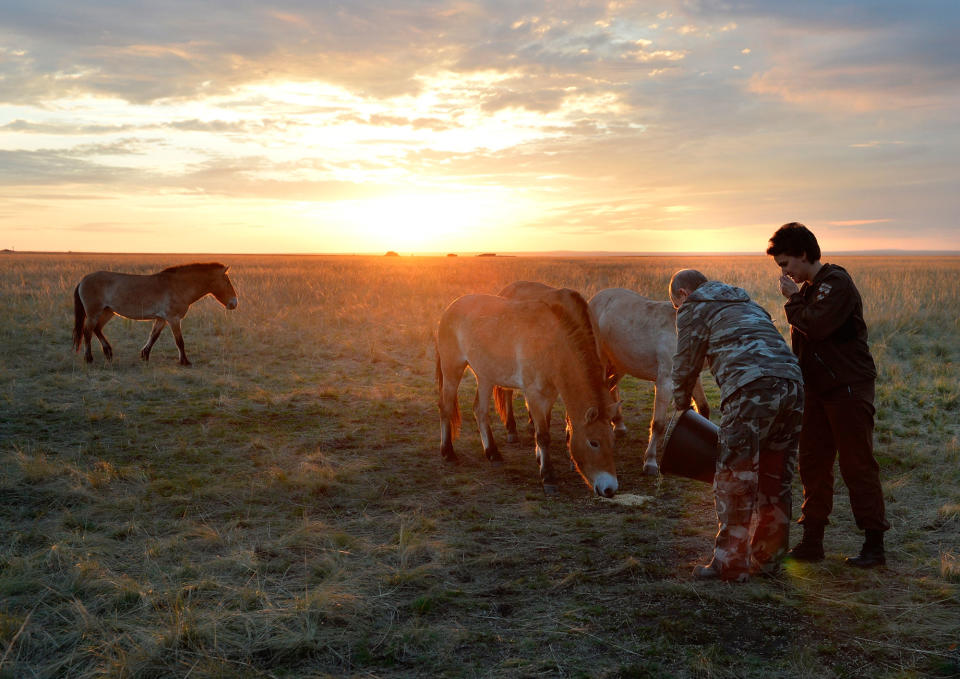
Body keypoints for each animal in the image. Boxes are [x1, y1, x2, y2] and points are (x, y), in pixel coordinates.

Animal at [71, 262, 236, 366]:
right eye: (227, 282)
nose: (234, 303)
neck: (179, 286)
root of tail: (83, 280)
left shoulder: (161, 319)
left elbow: (154, 336)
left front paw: (145, 355)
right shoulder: (173, 319)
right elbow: (179, 341)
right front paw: (185, 361)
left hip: (108, 311)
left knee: (97, 329)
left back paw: (108, 353)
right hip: (94, 313)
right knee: (88, 331)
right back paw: (89, 358)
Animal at [434, 290, 620, 496]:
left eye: (612, 441)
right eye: (593, 442)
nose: (610, 488)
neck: (552, 347)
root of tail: (450, 308)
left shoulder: (549, 394)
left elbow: (544, 426)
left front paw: (540, 459)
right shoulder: (534, 395)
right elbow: (543, 435)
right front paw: (548, 477)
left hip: (485, 376)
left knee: (480, 411)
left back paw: (493, 453)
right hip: (453, 368)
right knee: (446, 407)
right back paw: (448, 452)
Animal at [588, 290, 708, 476]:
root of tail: (595, 299)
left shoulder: (693, 378)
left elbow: (703, 409)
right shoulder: (665, 382)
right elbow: (658, 424)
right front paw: (650, 462)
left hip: (620, 364)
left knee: (611, 388)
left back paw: (618, 425)